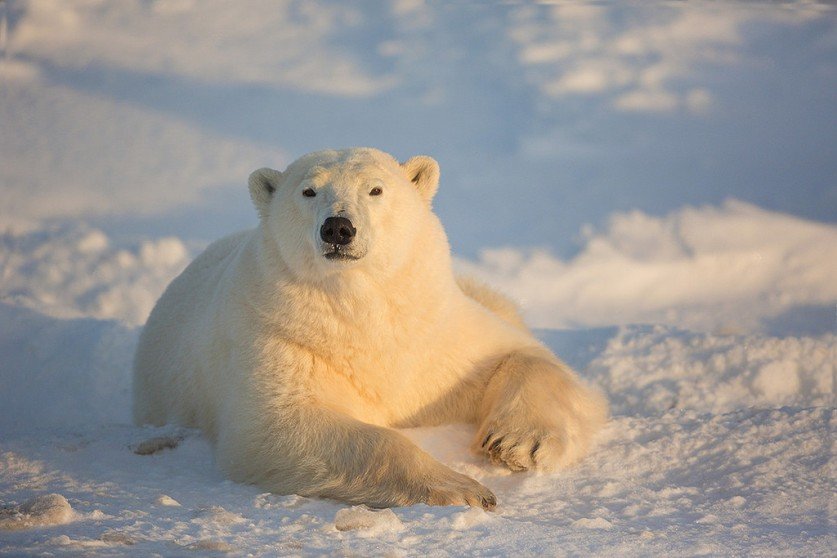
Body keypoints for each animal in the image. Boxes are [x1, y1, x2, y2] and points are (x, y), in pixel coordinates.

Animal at [133, 147, 607, 510]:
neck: (361, 312)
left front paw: (515, 445)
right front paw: (464, 488)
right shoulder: (277, 338)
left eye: (375, 189)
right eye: (309, 190)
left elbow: (525, 355)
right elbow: (278, 424)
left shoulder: (437, 331)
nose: (338, 227)